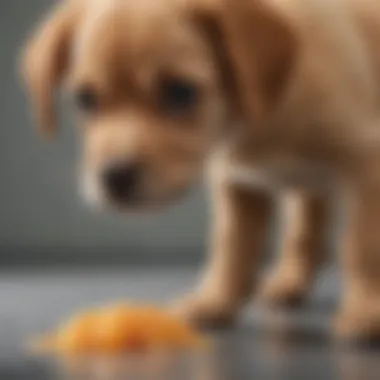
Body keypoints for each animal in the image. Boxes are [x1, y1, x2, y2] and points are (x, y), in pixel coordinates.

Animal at [21, 0, 380, 342]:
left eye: (180, 92)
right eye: (85, 99)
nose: (115, 177)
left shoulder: (367, 162)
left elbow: (363, 245)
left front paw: (368, 311)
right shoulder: (237, 182)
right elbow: (232, 246)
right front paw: (215, 301)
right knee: (306, 223)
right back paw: (290, 280)